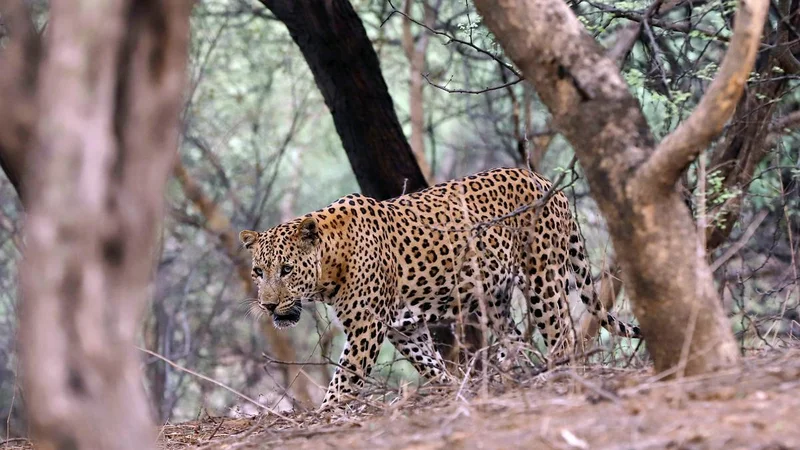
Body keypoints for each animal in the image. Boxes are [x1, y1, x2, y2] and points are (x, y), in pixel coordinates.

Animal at [240, 167, 641, 408]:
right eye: (258, 272)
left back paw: (560, 376)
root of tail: (544, 181)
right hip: (494, 297)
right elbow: (430, 364)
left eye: (287, 270)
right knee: (515, 339)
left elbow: (343, 381)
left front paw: (325, 415)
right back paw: (507, 374)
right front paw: (451, 389)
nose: (269, 306)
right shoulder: (403, 328)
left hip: (542, 278)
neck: (330, 263)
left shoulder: (367, 329)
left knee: (562, 336)